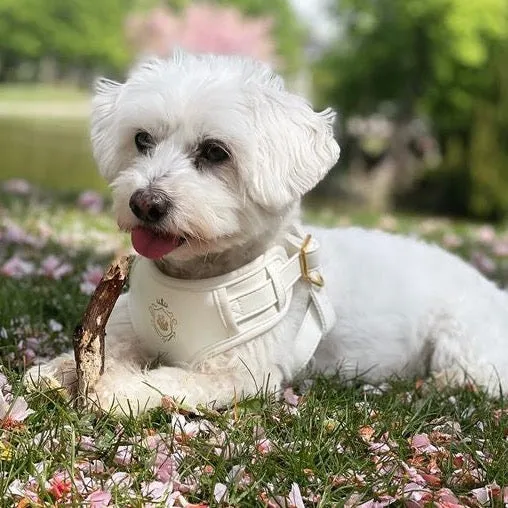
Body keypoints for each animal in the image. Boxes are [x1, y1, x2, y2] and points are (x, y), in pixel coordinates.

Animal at [25, 52, 508, 416]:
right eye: (142, 139)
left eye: (215, 152)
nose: (145, 203)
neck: (198, 278)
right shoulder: (128, 323)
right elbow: (105, 346)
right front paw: (55, 371)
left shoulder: (241, 372)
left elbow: (174, 380)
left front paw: (117, 388)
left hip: (459, 336)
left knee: (480, 374)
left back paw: (442, 381)